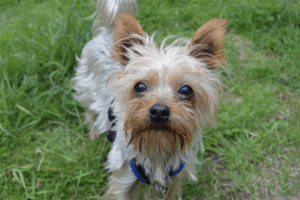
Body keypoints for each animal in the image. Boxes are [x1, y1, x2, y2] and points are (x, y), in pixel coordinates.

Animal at [73, 0, 227, 198]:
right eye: (139, 87)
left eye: (186, 90)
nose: (159, 111)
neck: (157, 148)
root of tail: (108, 31)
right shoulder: (123, 180)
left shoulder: (173, 181)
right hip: (87, 86)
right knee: (90, 111)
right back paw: (93, 133)